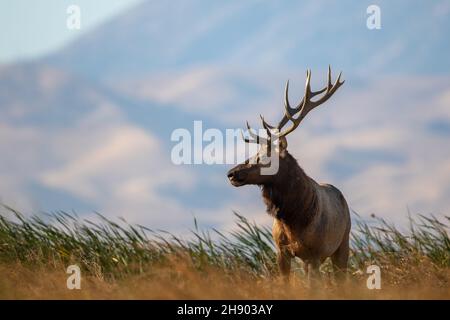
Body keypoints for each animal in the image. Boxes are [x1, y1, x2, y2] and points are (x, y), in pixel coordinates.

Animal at [227, 67, 350, 280]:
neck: (293, 220)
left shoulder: (314, 253)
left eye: (266, 159)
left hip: (343, 244)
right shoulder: (282, 251)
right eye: (254, 154)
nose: (231, 173)